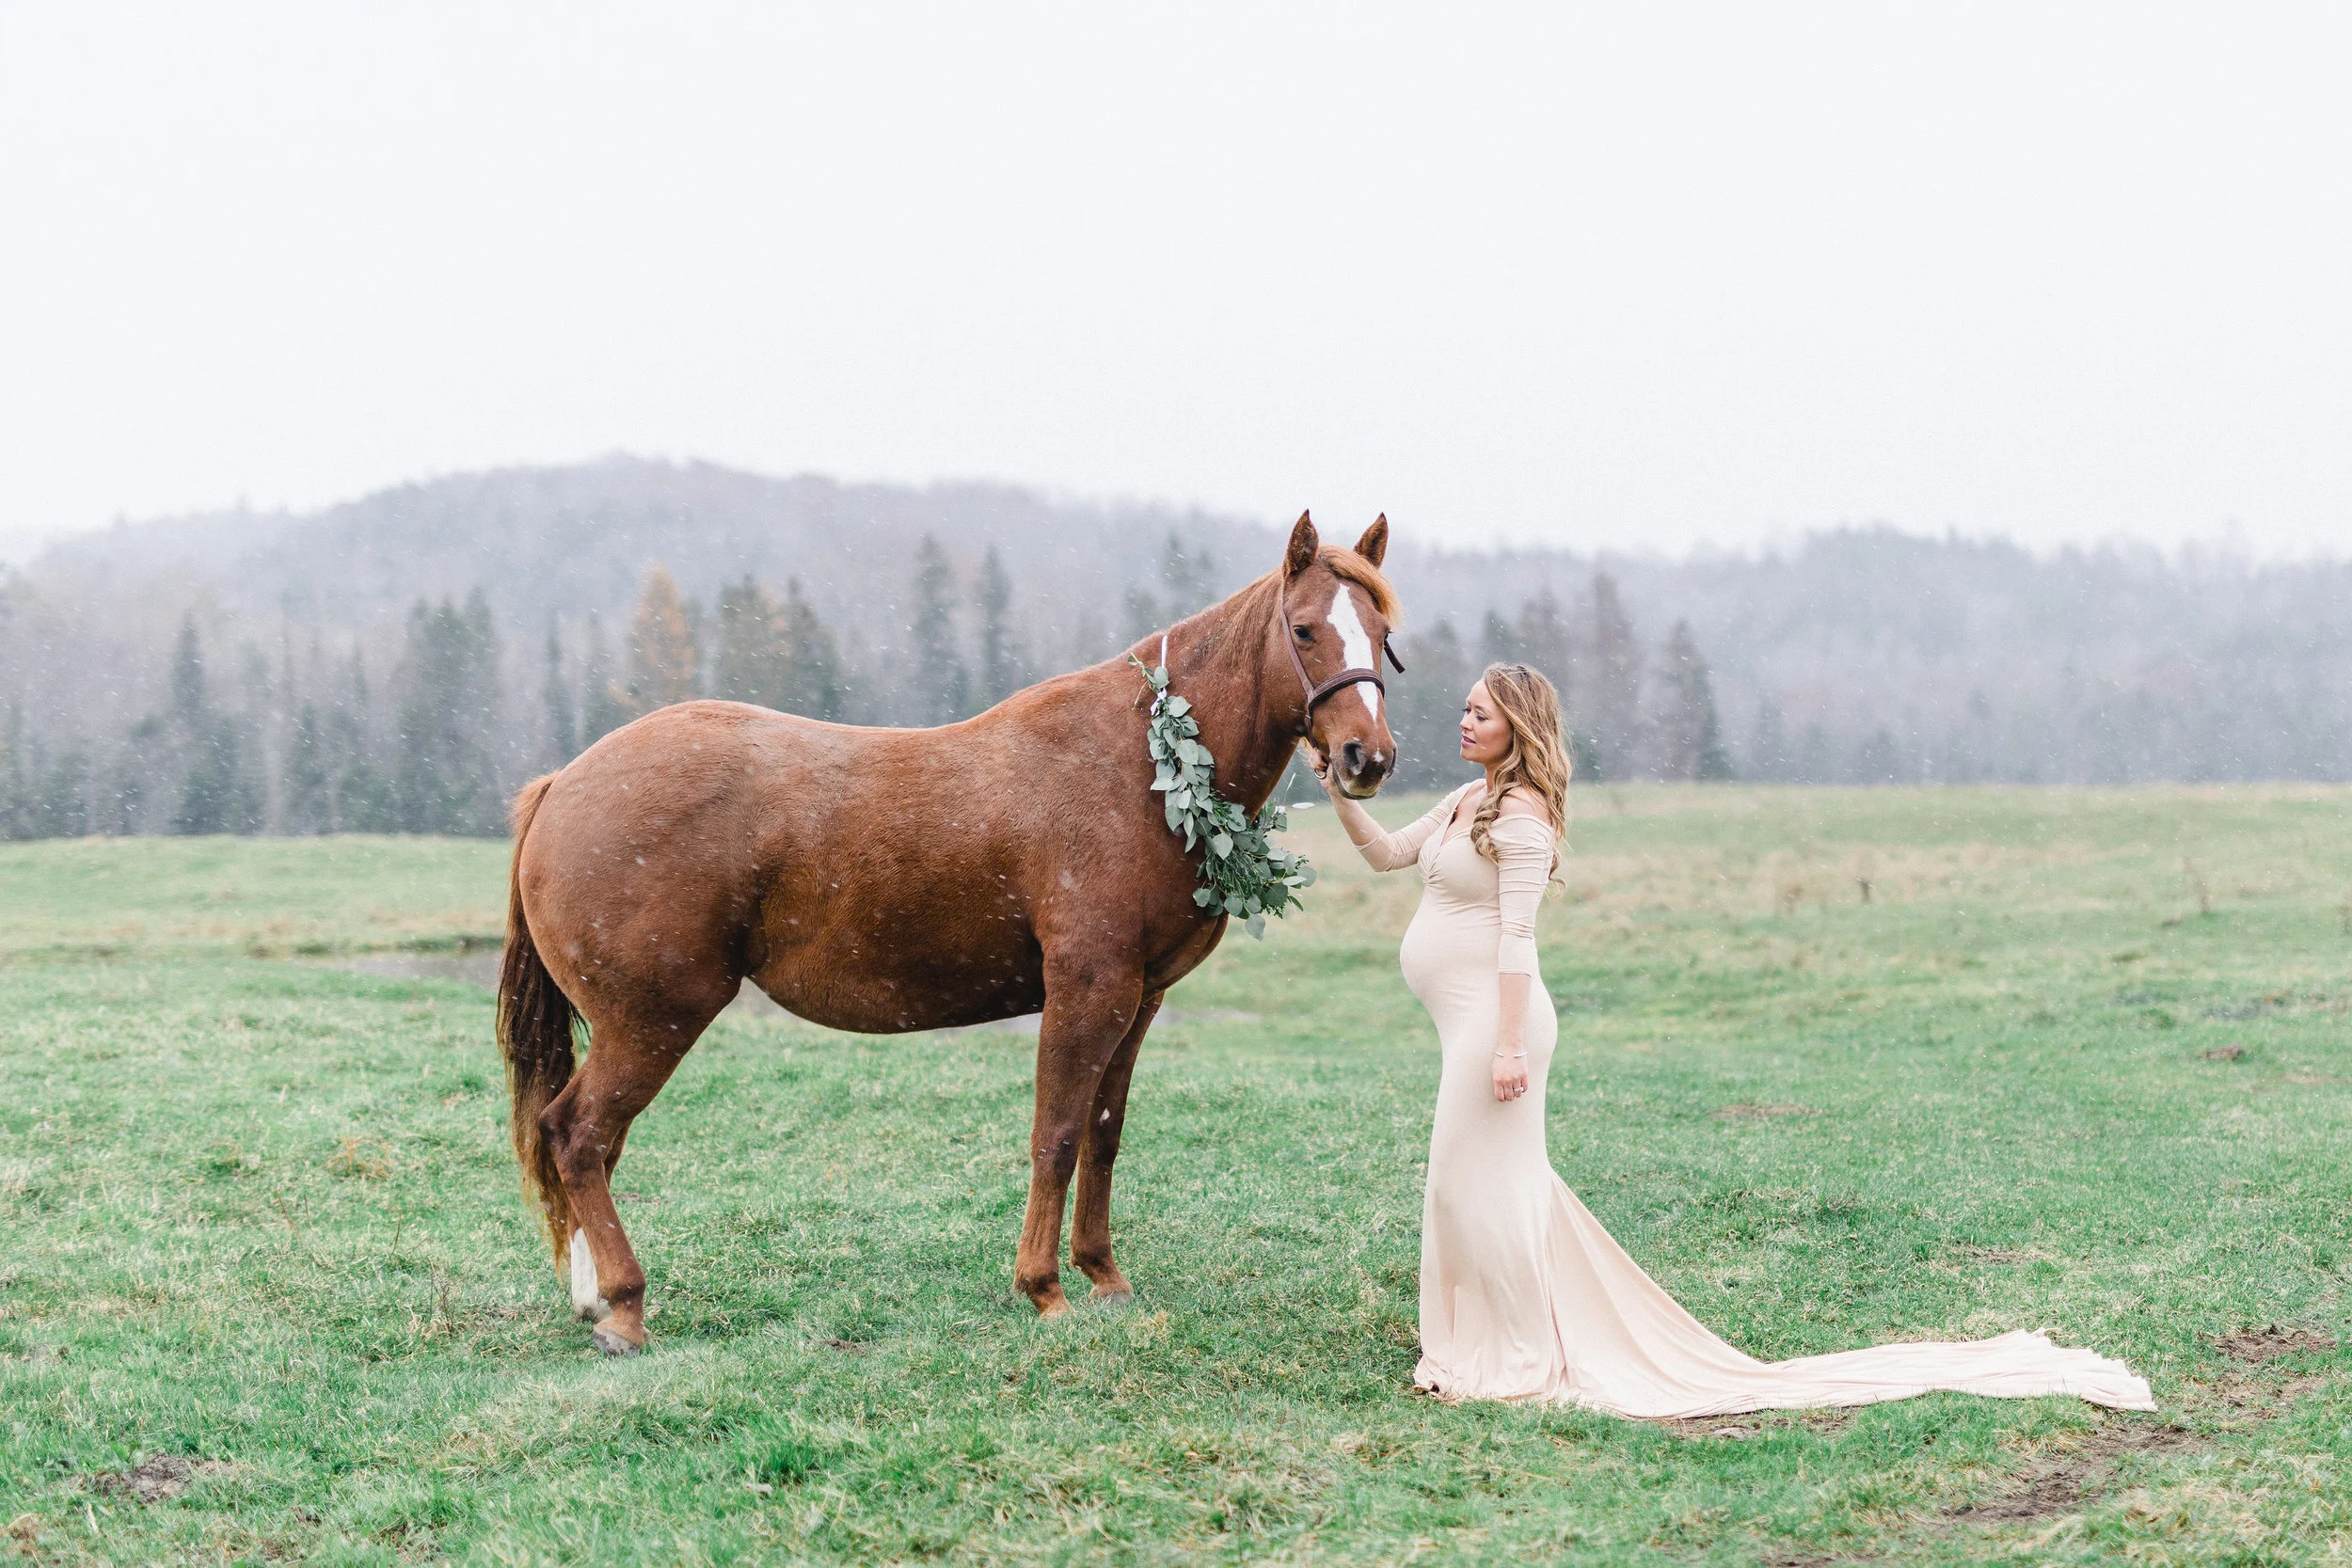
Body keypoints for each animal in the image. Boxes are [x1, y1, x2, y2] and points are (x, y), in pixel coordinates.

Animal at [498, 513, 1402, 1354]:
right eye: (1304, 628)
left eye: (1384, 635)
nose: (1368, 758)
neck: (1142, 762)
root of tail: (562, 782)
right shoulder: (1087, 990)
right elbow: (1056, 1135)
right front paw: (1044, 1288)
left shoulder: (1138, 999)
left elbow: (1104, 1136)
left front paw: (1103, 1275)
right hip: (652, 1019)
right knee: (577, 1135)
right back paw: (625, 1305)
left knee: (594, 1147)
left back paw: (595, 1300)